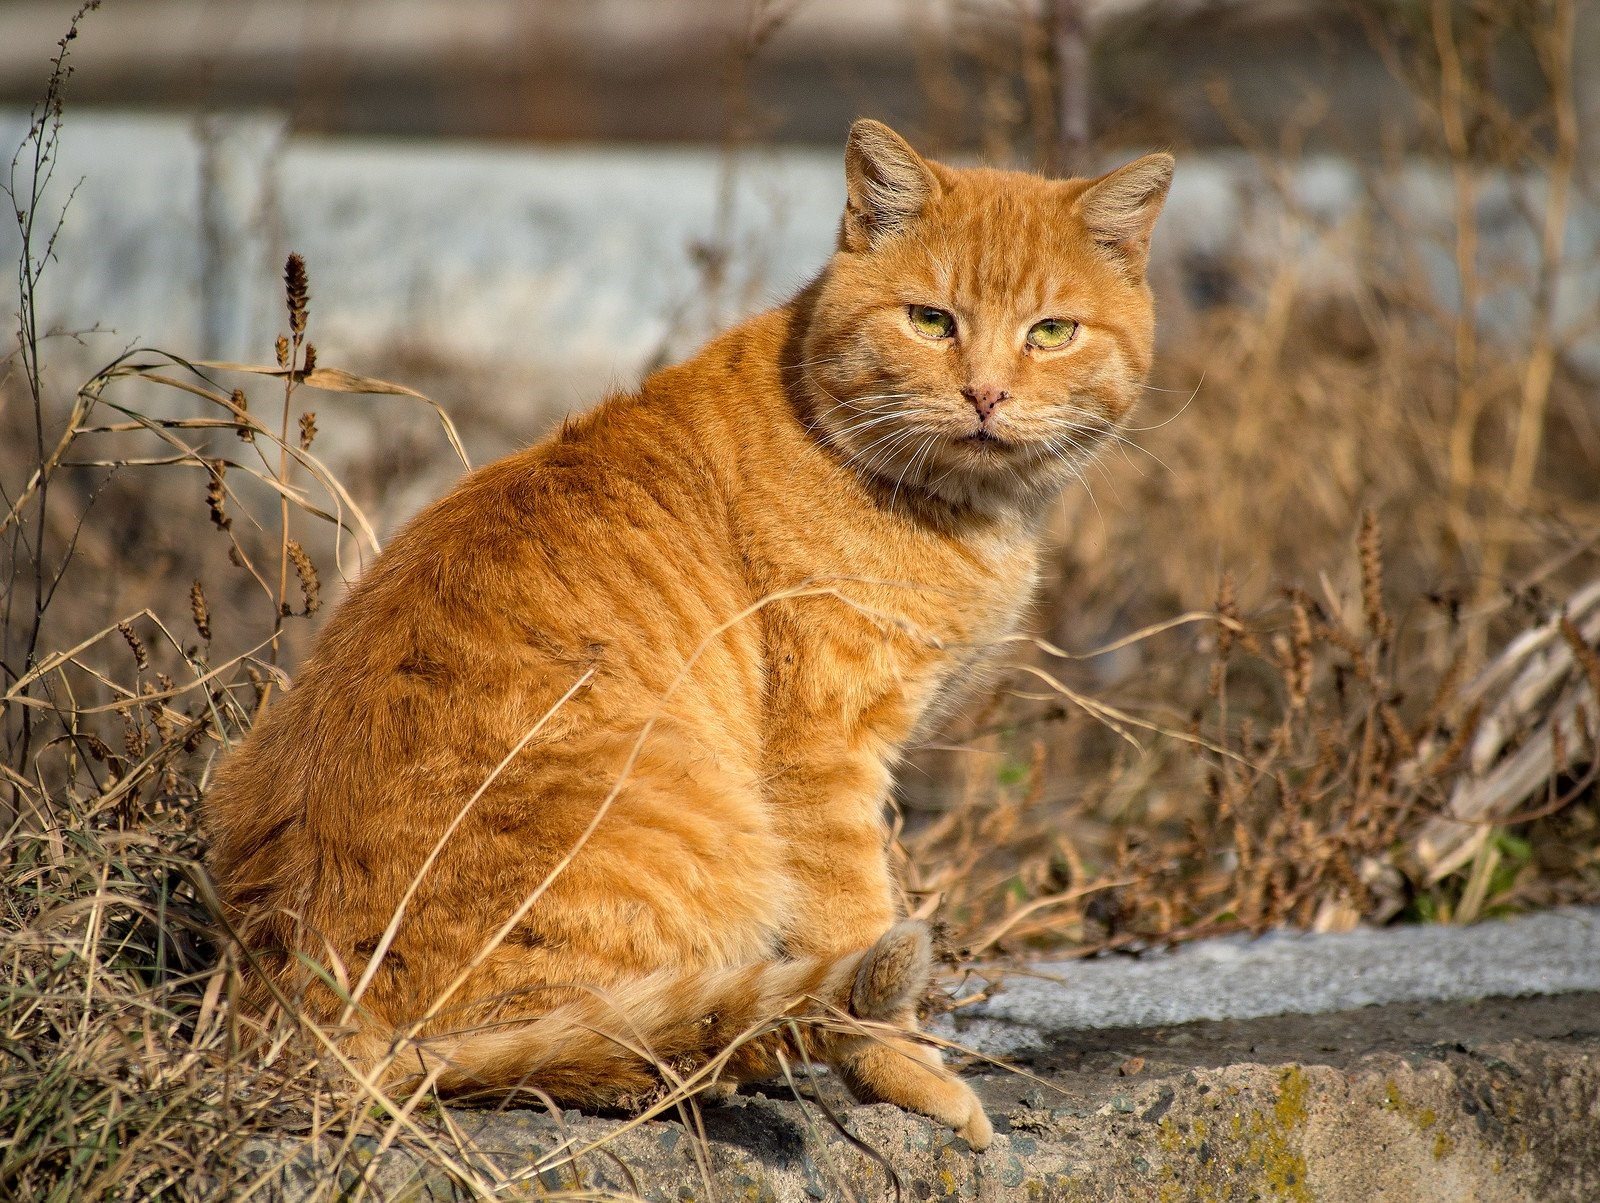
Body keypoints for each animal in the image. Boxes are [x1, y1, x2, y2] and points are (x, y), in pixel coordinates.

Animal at [206, 119, 1171, 1145]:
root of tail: (298, 1021)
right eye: (930, 321)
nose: (986, 394)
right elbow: (857, 925)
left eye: (1052, 333)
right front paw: (906, 1073)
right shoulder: (825, 761)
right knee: (592, 1045)